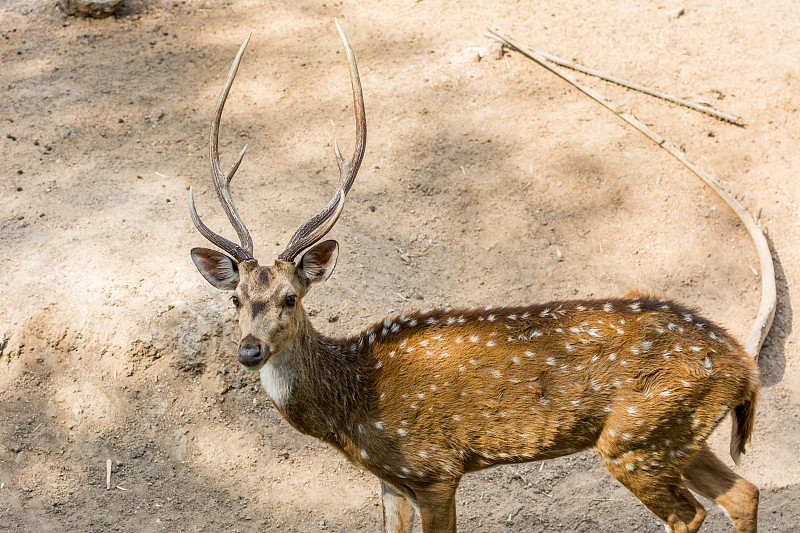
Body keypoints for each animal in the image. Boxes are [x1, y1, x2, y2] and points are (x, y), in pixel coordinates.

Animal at [189, 22, 764, 532]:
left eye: (290, 297)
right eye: (235, 299)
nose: (249, 351)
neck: (351, 412)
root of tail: (744, 368)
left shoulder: (433, 468)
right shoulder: (389, 479)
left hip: (635, 438)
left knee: (690, 513)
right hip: (675, 434)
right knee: (744, 492)